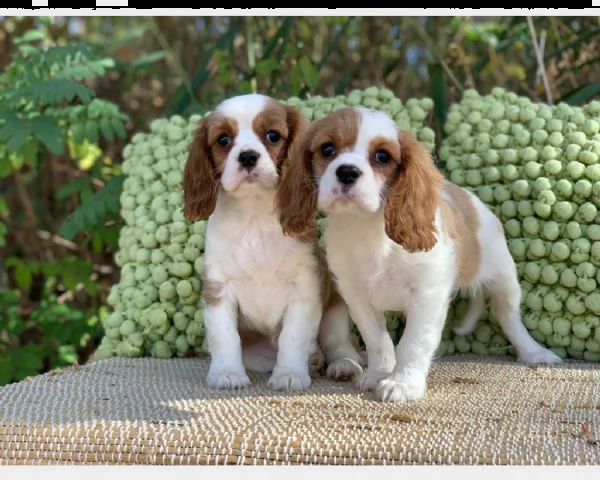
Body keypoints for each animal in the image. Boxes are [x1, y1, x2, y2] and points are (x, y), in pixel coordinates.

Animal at [180, 95, 364, 392]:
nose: (247, 156)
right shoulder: (219, 289)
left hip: (335, 312)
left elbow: (293, 337)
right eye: (223, 140)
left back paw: (342, 366)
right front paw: (227, 373)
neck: (254, 215)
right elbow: (225, 336)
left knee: (340, 345)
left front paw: (290, 374)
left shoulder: (304, 289)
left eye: (272, 136)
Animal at [276, 107, 564, 404]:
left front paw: (402, 383)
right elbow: (377, 339)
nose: (346, 172)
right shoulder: (357, 296)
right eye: (327, 149)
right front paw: (380, 373)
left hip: (504, 278)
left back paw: (534, 352)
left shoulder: (427, 295)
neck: (367, 227)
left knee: (508, 317)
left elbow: (413, 343)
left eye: (382, 157)